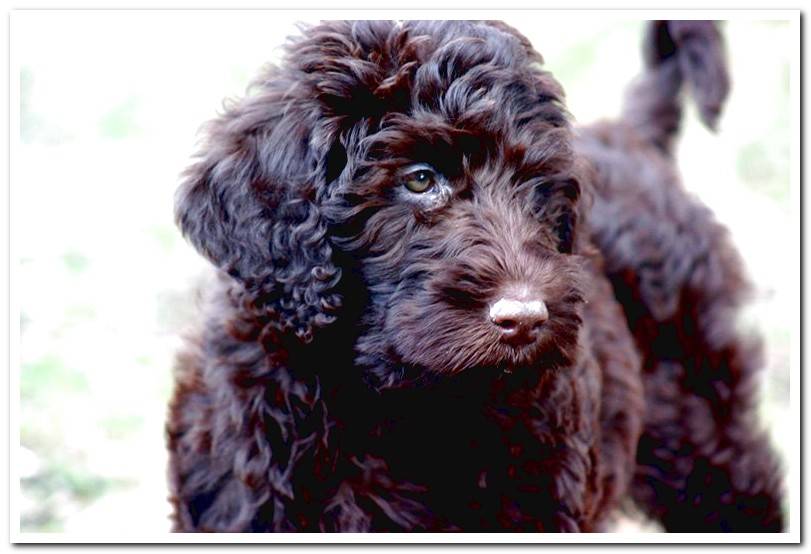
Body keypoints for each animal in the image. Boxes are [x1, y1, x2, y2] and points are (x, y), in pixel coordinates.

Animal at [167, 20, 788, 532]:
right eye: (420, 179)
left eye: (538, 189)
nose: (526, 320)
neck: (392, 404)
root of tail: (633, 137)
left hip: (703, 425)